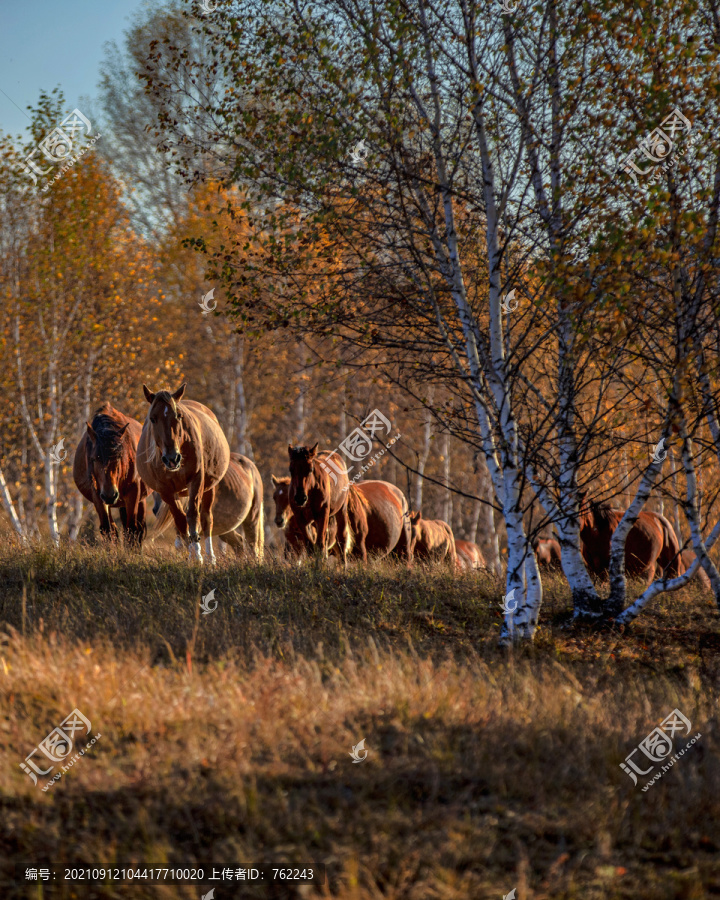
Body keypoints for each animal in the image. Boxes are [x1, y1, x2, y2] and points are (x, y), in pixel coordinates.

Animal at [72, 404, 150, 544]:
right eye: (94, 459)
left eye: (119, 457)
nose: (110, 495)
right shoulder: (98, 495)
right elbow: (108, 529)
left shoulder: (134, 492)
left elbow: (132, 529)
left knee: (137, 529)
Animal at [138, 382, 231, 564]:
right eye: (153, 418)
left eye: (179, 416)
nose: (172, 458)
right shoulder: (165, 491)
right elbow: (181, 520)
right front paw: (191, 554)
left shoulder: (196, 481)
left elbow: (193, 515)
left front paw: (198, 555)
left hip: (209, 488)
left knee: (206, 519)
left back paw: (210, 557)